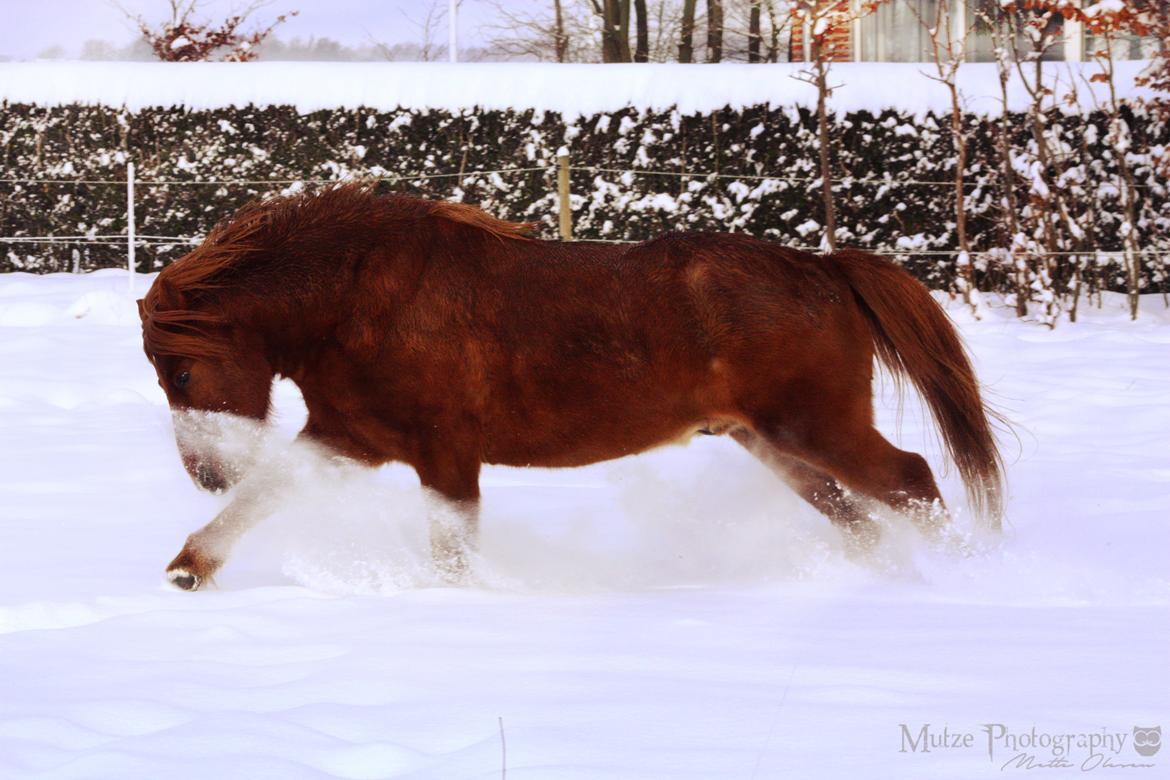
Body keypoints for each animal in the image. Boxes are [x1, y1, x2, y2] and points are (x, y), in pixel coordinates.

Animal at [136, 184, 996, 591]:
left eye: (179, 369)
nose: (207, 473)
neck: (359, 297)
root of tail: (825, 268)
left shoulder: (445, 456)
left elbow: (452, 552)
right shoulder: (349, 438)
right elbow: (267, 496)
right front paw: (188, 567)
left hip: (816, 429)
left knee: (913, 479)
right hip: (775, 445)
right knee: (864, 517)